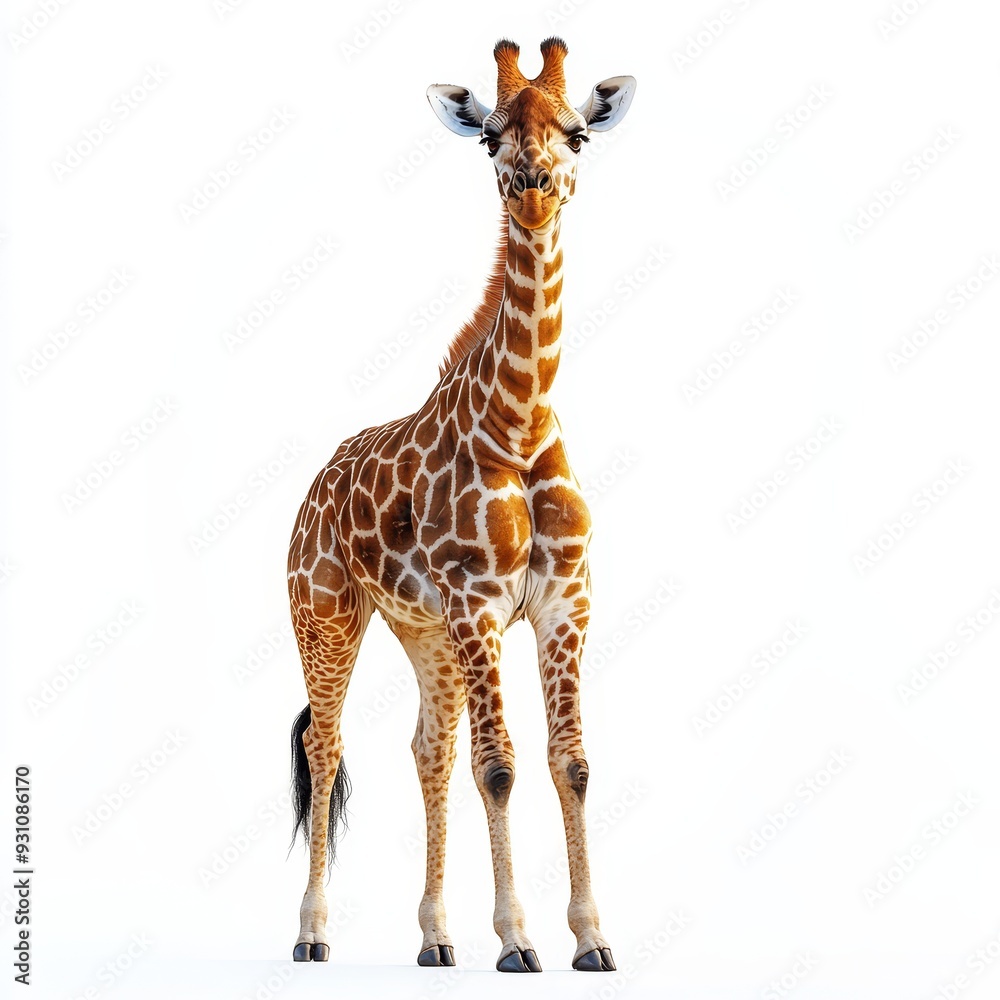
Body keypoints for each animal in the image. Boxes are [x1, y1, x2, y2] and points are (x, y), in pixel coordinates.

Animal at [286, 36, 634, 973]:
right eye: (488, 138)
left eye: (578, 133)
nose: (533, 183)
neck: (519, 419)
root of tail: (314, 484)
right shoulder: (480, 602)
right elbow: (501, 766)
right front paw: (517, 940)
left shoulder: (564, 601)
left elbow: (569, 762)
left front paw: (592, 938)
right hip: (326, 614)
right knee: (326, 745)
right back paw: (312, 932)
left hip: (424, 633)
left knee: (427, 749)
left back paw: (436, 938)